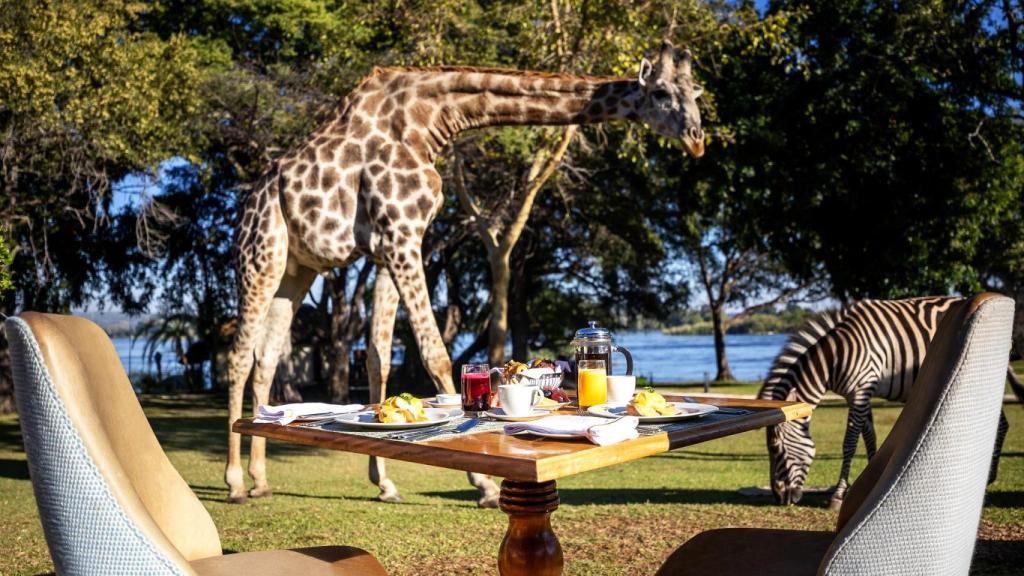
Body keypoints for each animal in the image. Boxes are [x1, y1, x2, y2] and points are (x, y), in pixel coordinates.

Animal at [225, 40, 705, 506]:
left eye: (695, 93)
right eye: (661, 93)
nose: (697, 140)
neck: (425, 122)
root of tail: (252, 199)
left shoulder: (387, 247)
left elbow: (378, 359)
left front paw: (385, 483)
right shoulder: (401, 235)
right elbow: (435, 352)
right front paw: (485, 484)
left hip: (297, 269)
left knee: (266, 359)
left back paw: (261, 477)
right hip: (261, 255)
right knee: (238, 356)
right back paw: (235, 484)